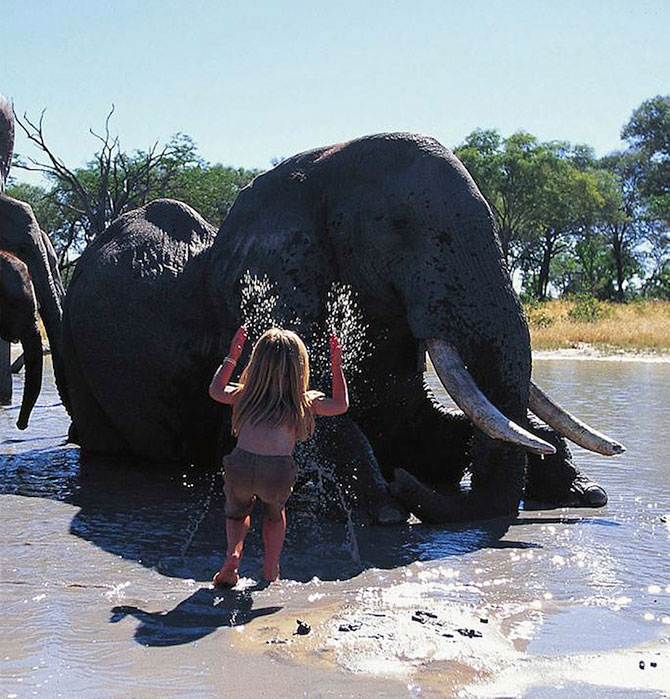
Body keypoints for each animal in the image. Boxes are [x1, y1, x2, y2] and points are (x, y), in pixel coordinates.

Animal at [63, 134, 624, 524]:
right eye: (397, 225)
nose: (403, 486)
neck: (320, 164)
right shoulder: (259, 297)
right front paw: (388, 511)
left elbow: (421, 422)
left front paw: (584, 491)